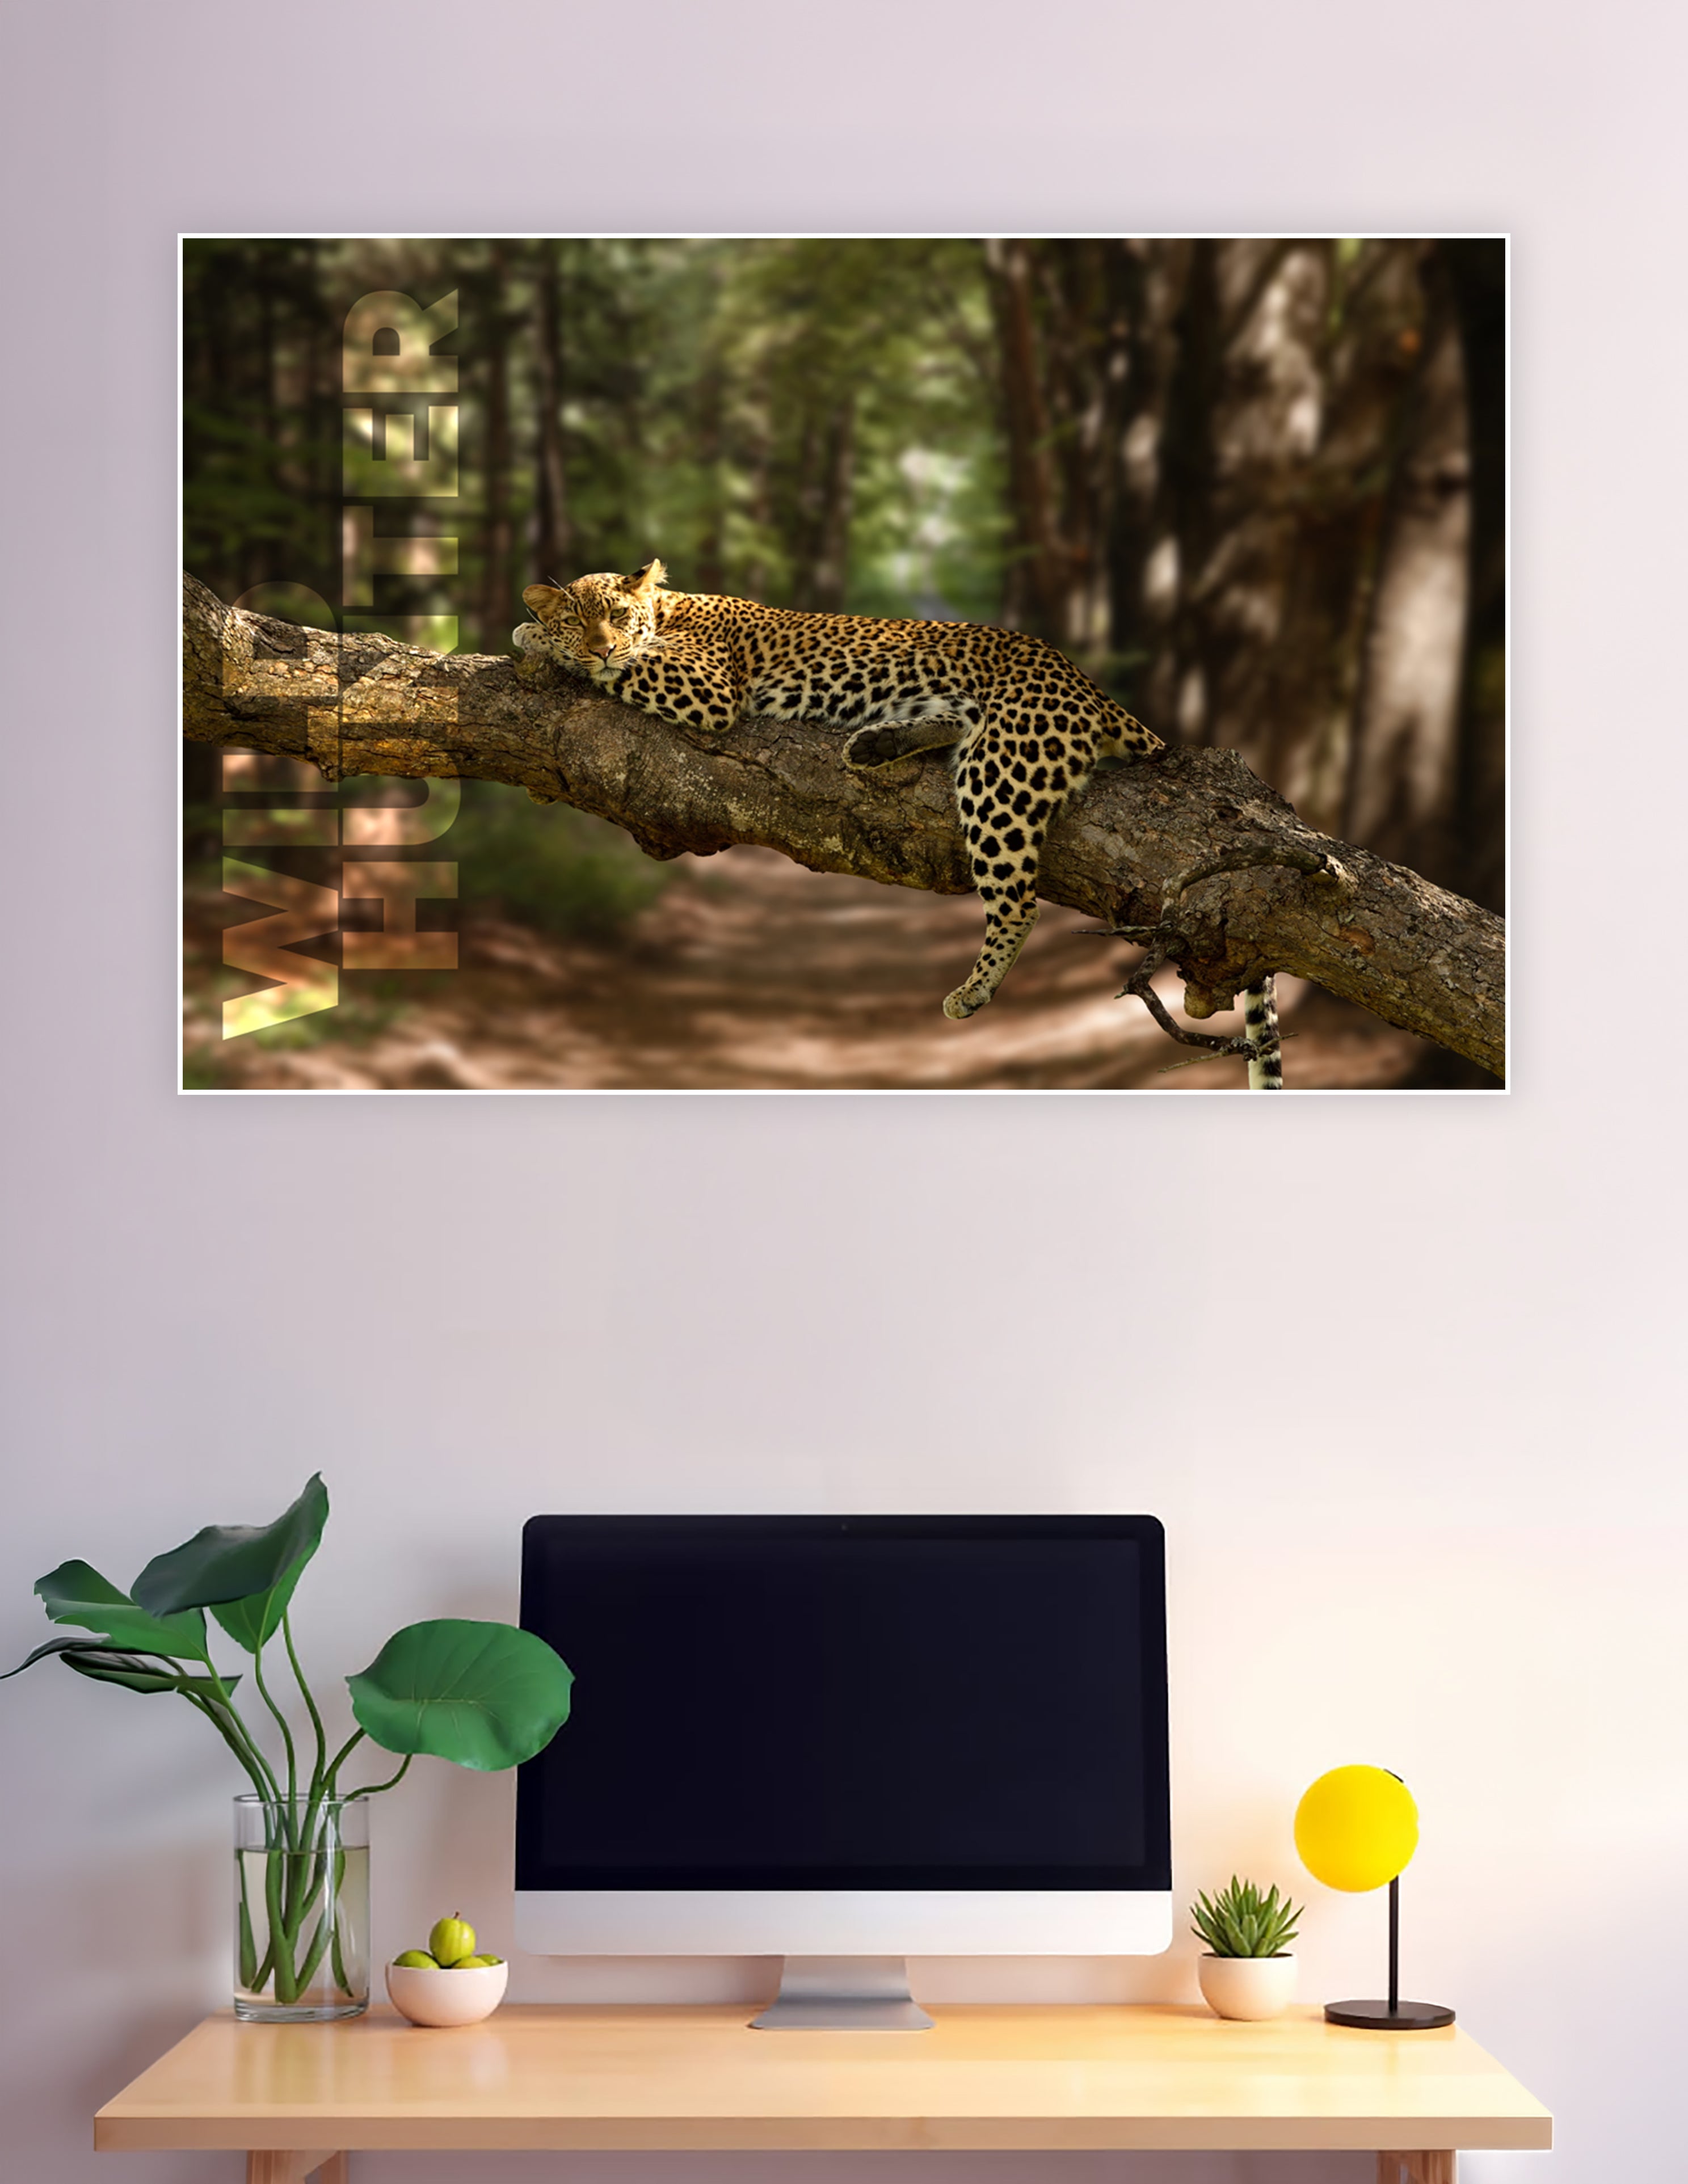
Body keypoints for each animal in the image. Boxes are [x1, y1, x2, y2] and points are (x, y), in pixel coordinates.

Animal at [514, 558, 1284, 1084]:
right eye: (580, 617)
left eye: (616, 616)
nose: (598, 642)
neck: (671, 609)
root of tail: (1085, 682)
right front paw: (539, 630)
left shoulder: (704, 687)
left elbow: (621, 669)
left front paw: (534, 640)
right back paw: (874, 745)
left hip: (1000, 774)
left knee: (1019, 900)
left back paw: (972, 989)